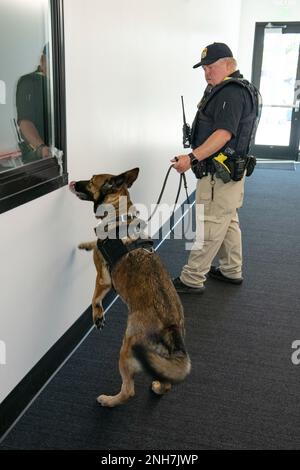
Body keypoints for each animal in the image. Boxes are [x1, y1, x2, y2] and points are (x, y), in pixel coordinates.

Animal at [69, 167, 190, 406]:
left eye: (91, 181)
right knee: (166, 383)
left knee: (129, 390)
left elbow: (94, 299)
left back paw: (109, 400)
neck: (119, 212)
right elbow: (93, 242)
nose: (73, 182)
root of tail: (170, 327)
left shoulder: (103, 279)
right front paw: (85, 244)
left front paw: (97, 315)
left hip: (125, 351)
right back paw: (158, 387)